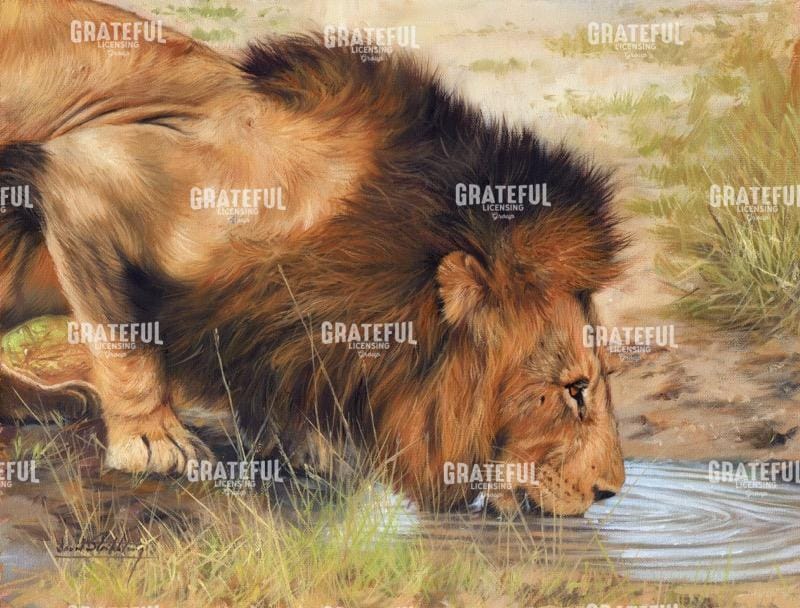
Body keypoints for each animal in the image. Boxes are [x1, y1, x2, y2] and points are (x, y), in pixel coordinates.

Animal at [0, 0, 626, 515]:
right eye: (575, 391)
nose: (611, 491)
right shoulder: (91, 175)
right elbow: (128, 341)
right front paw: (154, 442)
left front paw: (306, 446)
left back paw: (46, 399)